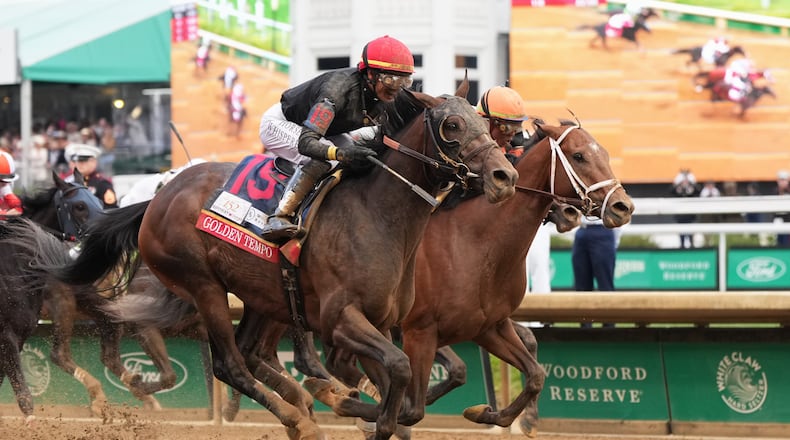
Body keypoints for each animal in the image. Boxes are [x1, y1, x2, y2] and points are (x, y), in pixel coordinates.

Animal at [48, 80, 519, 440]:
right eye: (452, 125)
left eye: (484, 122)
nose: (505, 176)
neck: (378, 214)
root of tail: (158, 197)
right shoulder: (341, 318)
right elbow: (398, 375)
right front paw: (339, 399)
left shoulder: (382, 323)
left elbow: (405, 400)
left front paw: (350, 401)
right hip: (204, 285)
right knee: (230, 364)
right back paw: (299, 417)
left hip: (263, 293)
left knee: (249, 353)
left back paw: (300, 408)